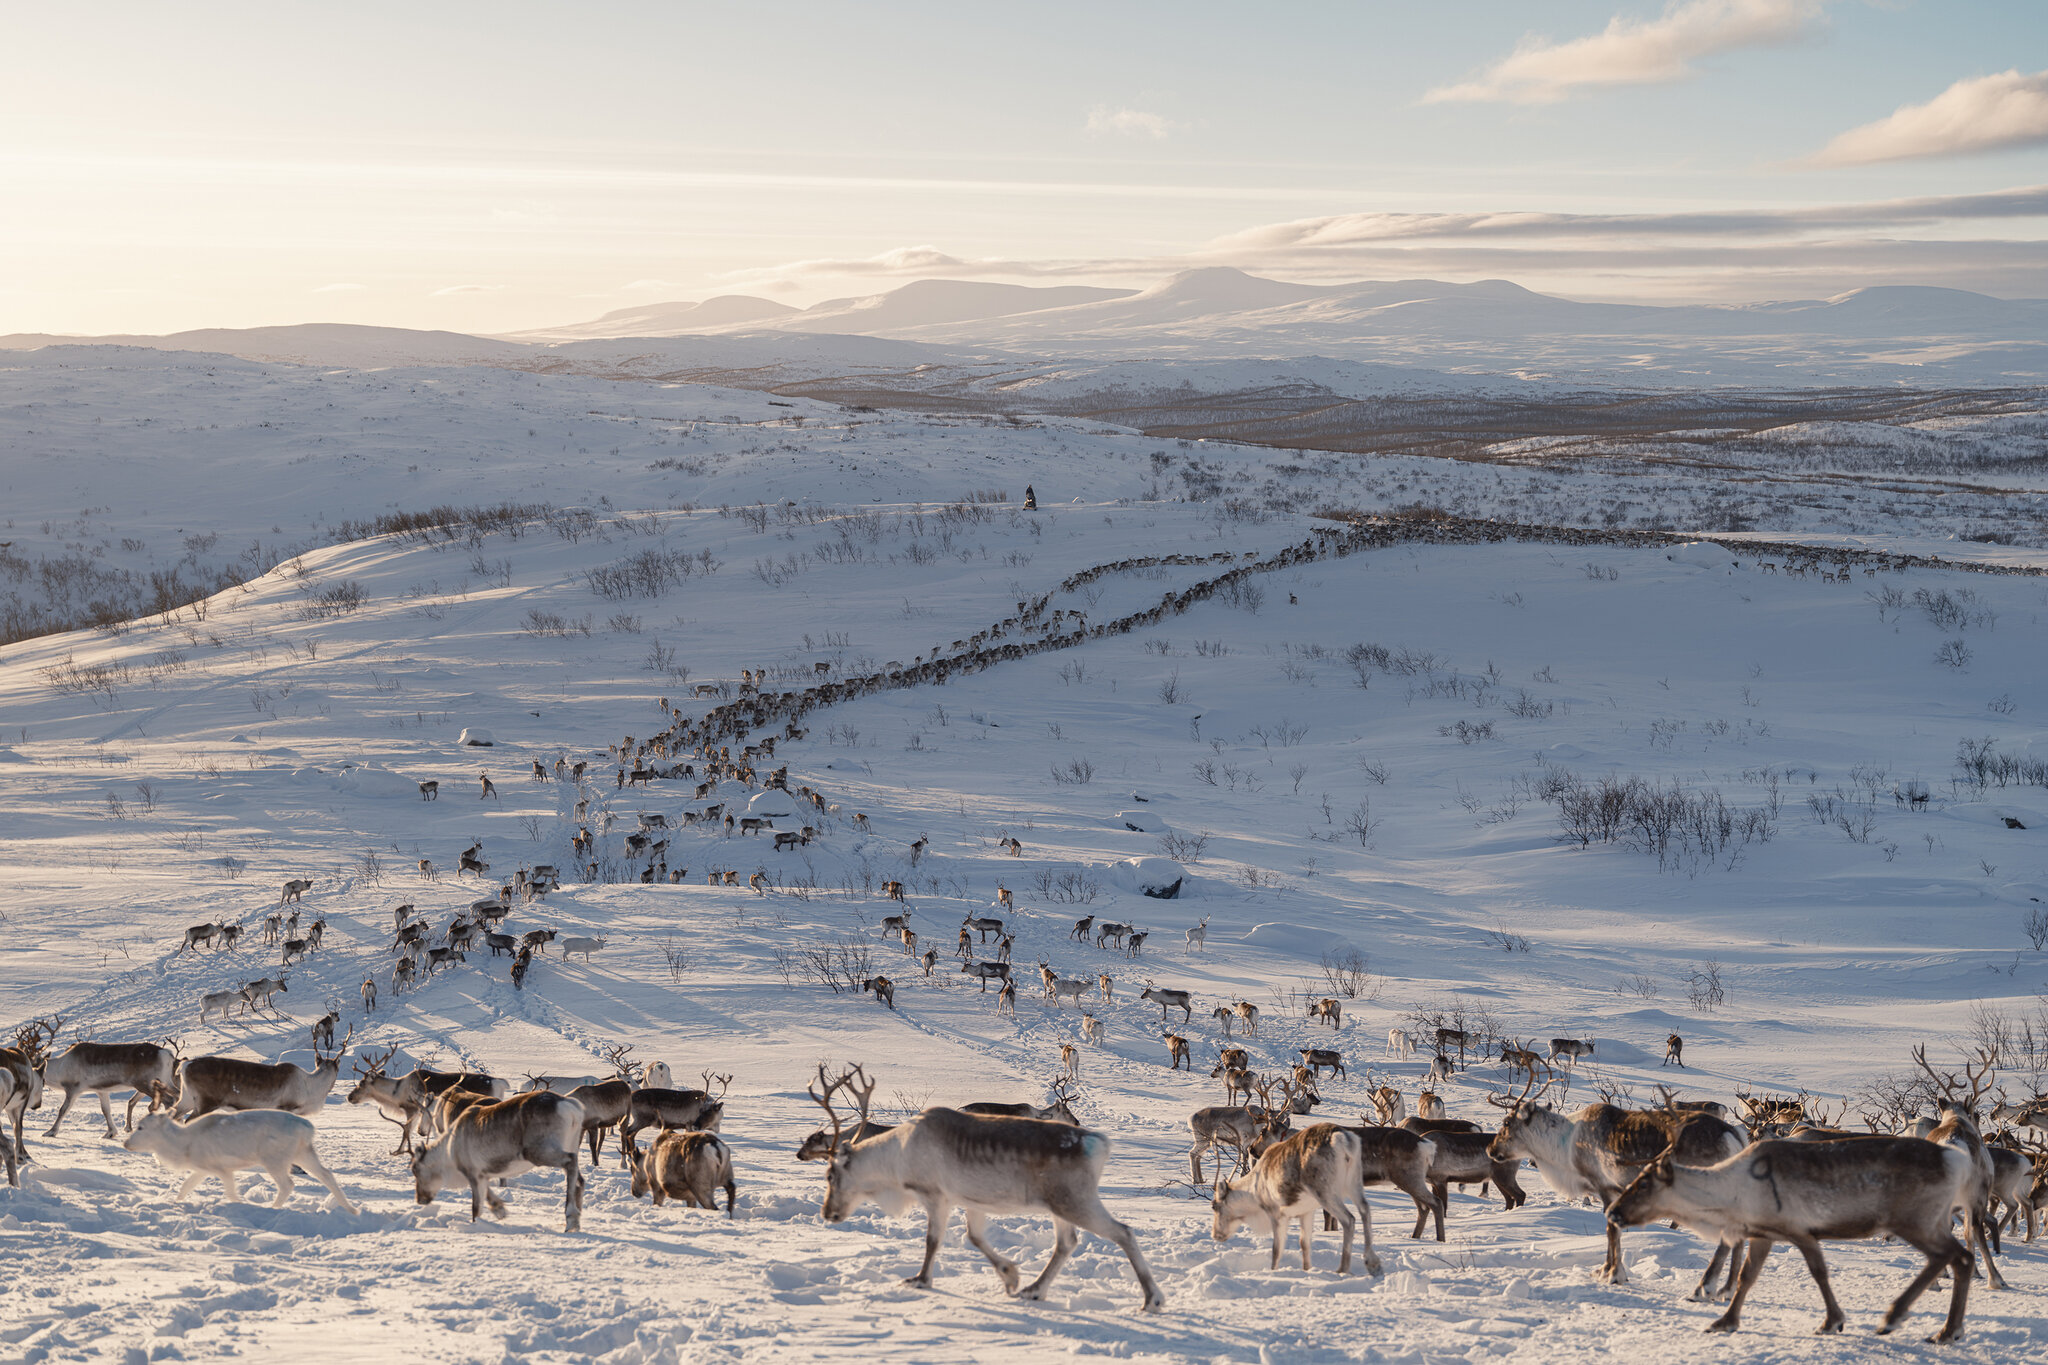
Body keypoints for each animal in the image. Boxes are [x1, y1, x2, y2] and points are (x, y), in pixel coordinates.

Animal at [124, 1108, 358, 1213]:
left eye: (141, 1127)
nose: (126, 1144)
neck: (183, 1147)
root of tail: (308, 1129)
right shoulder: (202, 1169)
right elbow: (185, 1187)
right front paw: (175, 1203)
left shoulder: (221, 1168)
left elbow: (230, 1192)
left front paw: (242, 1203)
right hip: (303, 1153)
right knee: (326, 1174)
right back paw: (351, 1209)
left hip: (274, 1158)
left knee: (287, 1184)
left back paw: (272, 1208)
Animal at [809, 1064, 1165, 1310]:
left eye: (831, 1175)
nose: (828, 1213)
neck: (896, 1157)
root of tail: (1100, 1143)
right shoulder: (970, 1200)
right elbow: (975, 1237)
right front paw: (1010, 1276)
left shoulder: (935, 1195)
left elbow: (933, 1241)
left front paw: (921, 1280)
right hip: (1060, 1203)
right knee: (1067, 1242)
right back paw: (1034, 1289)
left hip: (1075, 1199)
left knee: (1122, 1231)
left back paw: (1152, 1299)